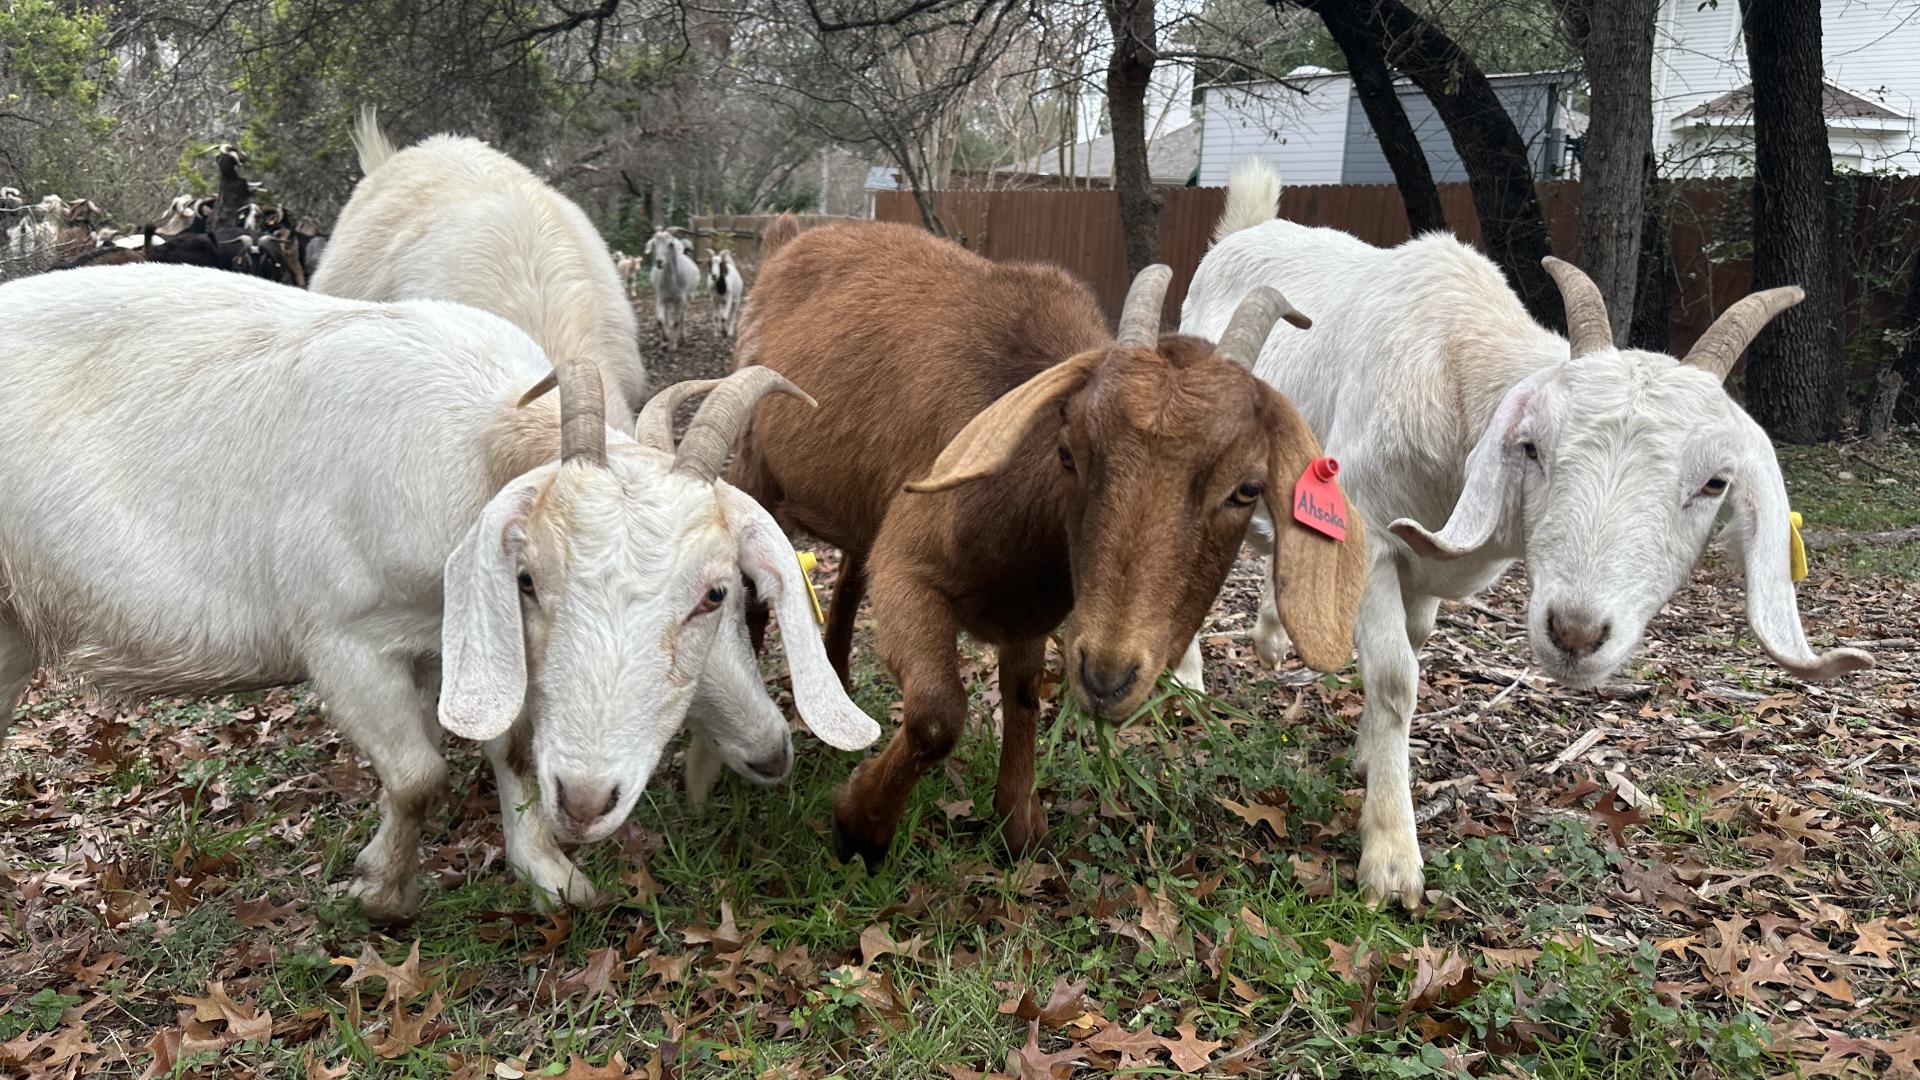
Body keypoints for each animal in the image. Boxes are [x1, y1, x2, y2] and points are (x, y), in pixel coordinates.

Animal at [0, 265, 878, 921]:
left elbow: (509, 748)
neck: (475, 439)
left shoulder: (462, 644)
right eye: (529, 578)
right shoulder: (343, 641)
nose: (586, 799)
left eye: (717, 593)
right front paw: (381, 891)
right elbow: (419, 775)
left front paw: (548, 873)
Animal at [728, 220, 1367, 864]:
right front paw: (861, 825)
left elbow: (1024, 694)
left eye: (1247, 488)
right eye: (1068, 451)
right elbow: (938, 714)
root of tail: (790, 235)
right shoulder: (908, 568)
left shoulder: (1028, 614)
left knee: (849, 577)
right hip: (753, 462)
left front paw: (1018, 825)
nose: (1108, 678)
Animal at [1176, 159, 1873, 907]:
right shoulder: (1372, 534)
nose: (1576, 633)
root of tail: (1246, 228)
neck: (1456, 363)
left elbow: (1410, 644)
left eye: (1715, 483)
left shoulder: (1423, 565)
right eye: (1533, 446)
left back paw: (1273, 636)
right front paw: (1391, 858)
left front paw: (1367, 755)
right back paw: (1186, 679)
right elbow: (1396, 679)